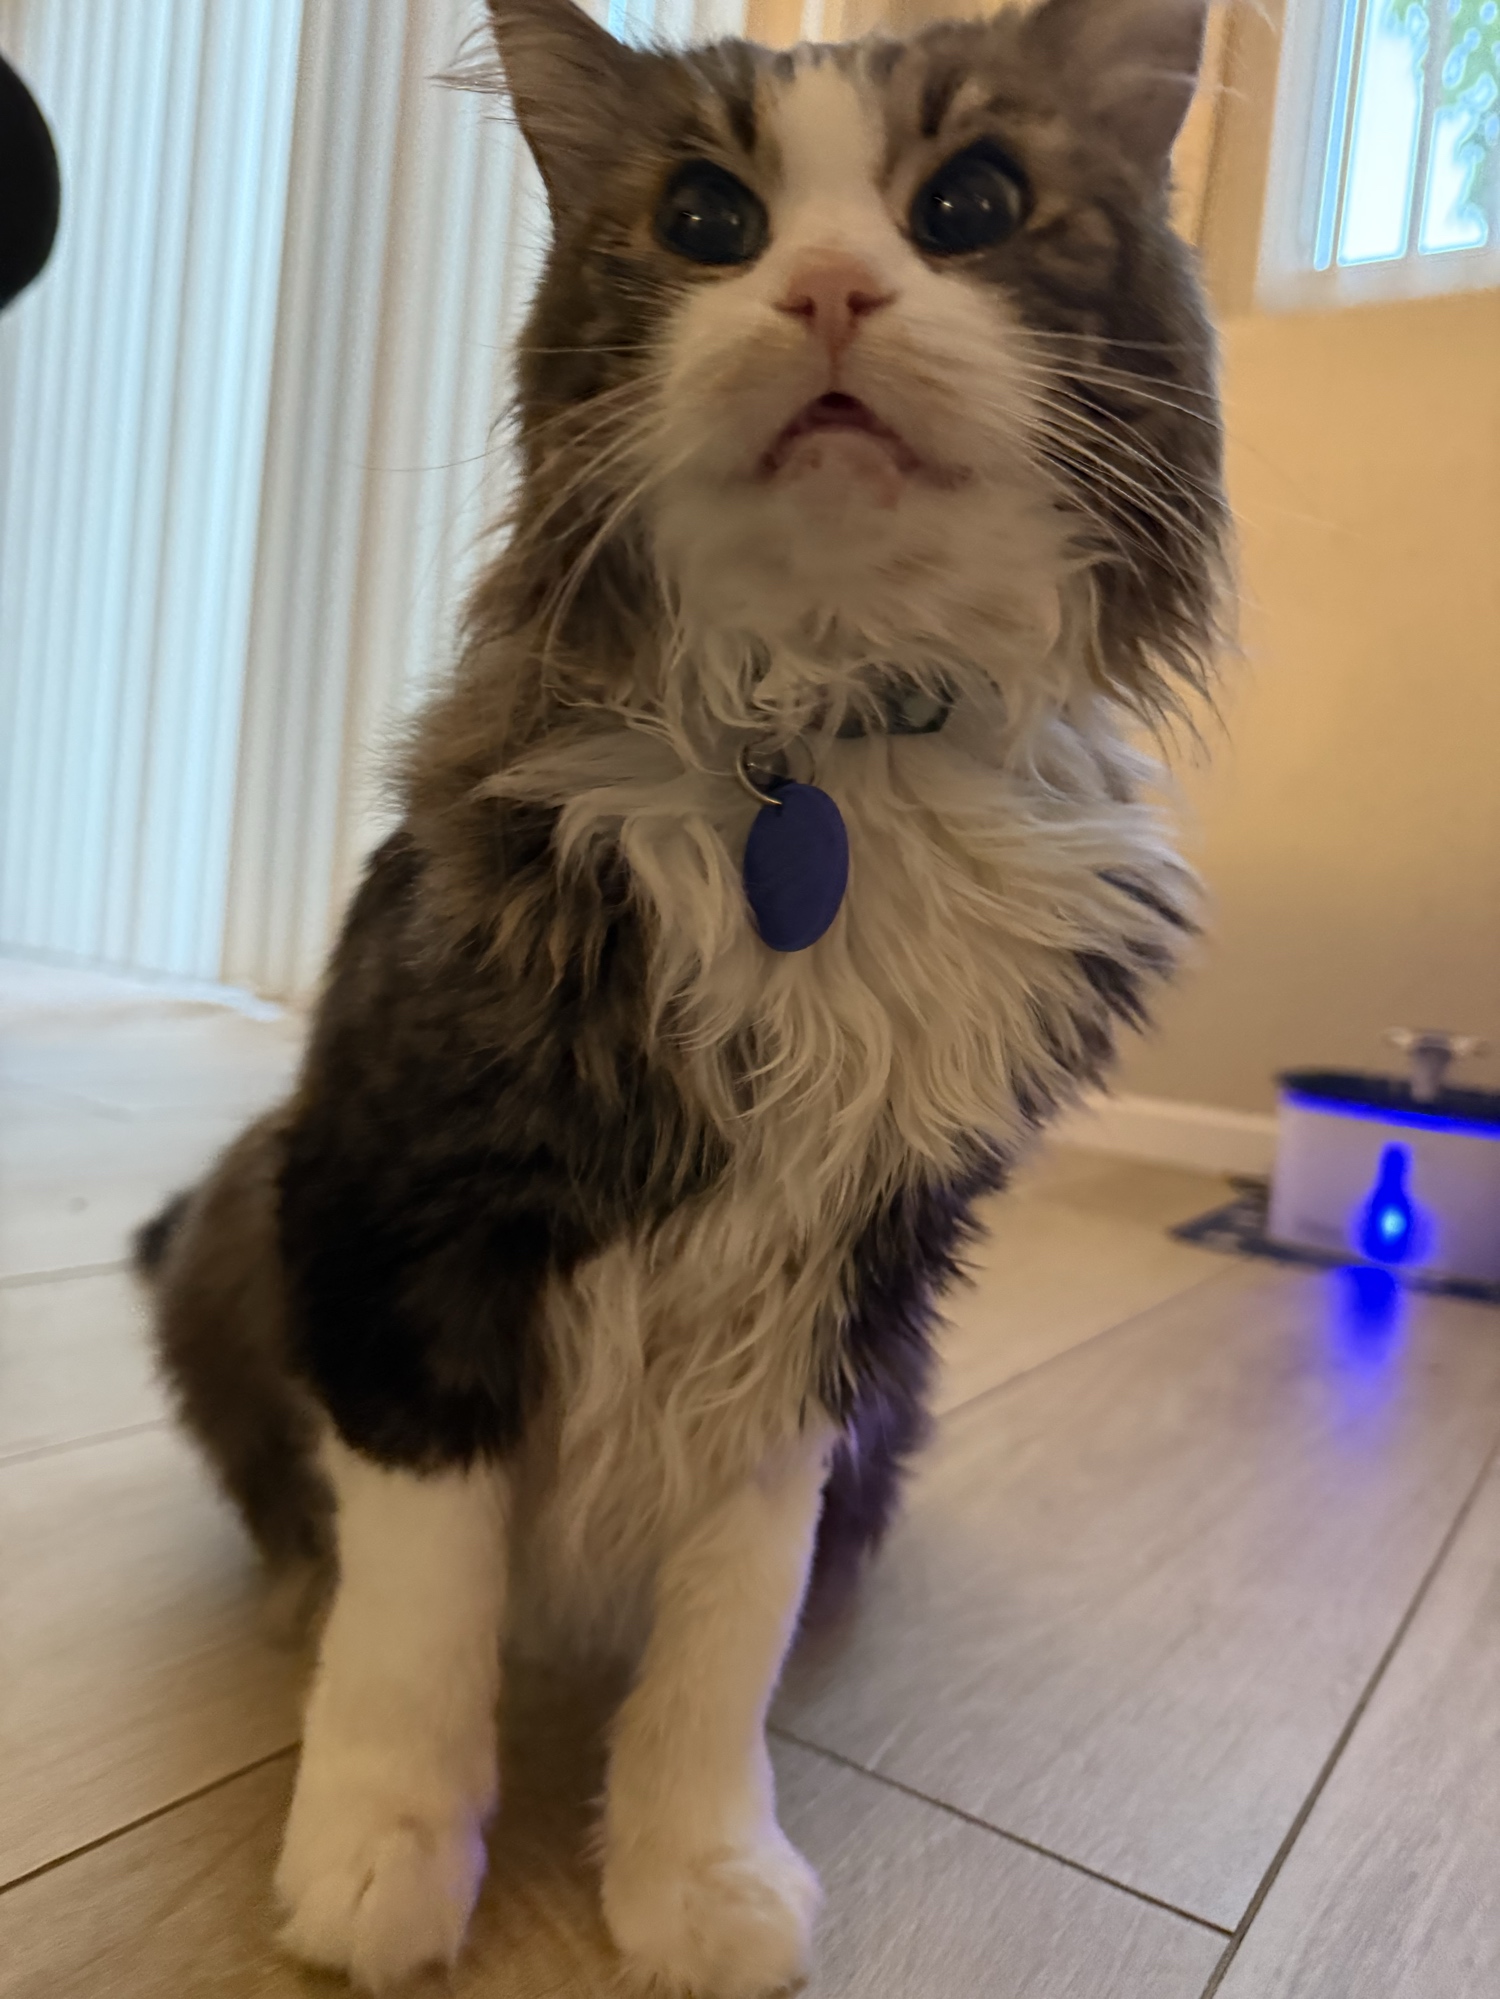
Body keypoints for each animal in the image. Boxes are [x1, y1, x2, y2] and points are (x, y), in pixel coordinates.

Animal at [134, 0, 1226, 1991]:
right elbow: (420, 1602)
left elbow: (732, 1624)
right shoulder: (410, 1209)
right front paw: (382, 1852)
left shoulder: (844, 1286)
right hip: (240, 1203)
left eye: (970, 202)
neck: (820, 747)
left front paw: (695, 1871)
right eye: (711, 220)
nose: (830, 292)